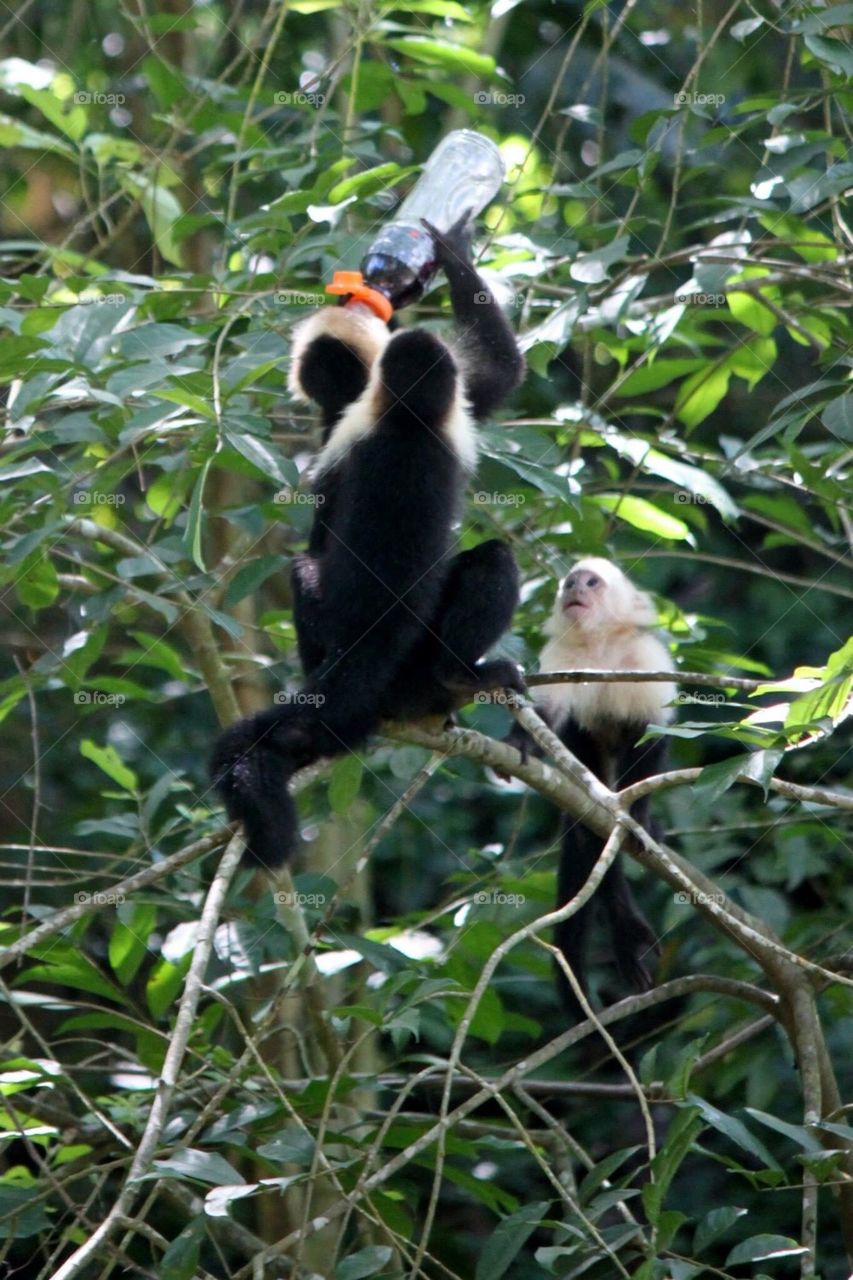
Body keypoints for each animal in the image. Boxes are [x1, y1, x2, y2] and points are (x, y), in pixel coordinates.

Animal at [208, 217, 522, 870]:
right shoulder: (444, 404)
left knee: (305, 568)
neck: (407, 415)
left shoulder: (348, 432)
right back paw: (457, 679)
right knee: (495, 561)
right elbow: (500, 373)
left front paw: (447, 242)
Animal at [502, 560, 676, 1018]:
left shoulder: (642, 659)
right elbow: (547, 714)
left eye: (591, 582)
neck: (599, 649)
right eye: (570, 581)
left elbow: (654, 728)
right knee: (593, 833)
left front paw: (640, 815)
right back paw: (624, 929)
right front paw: (522, 740)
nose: (573, 587)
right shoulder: (563, 659)